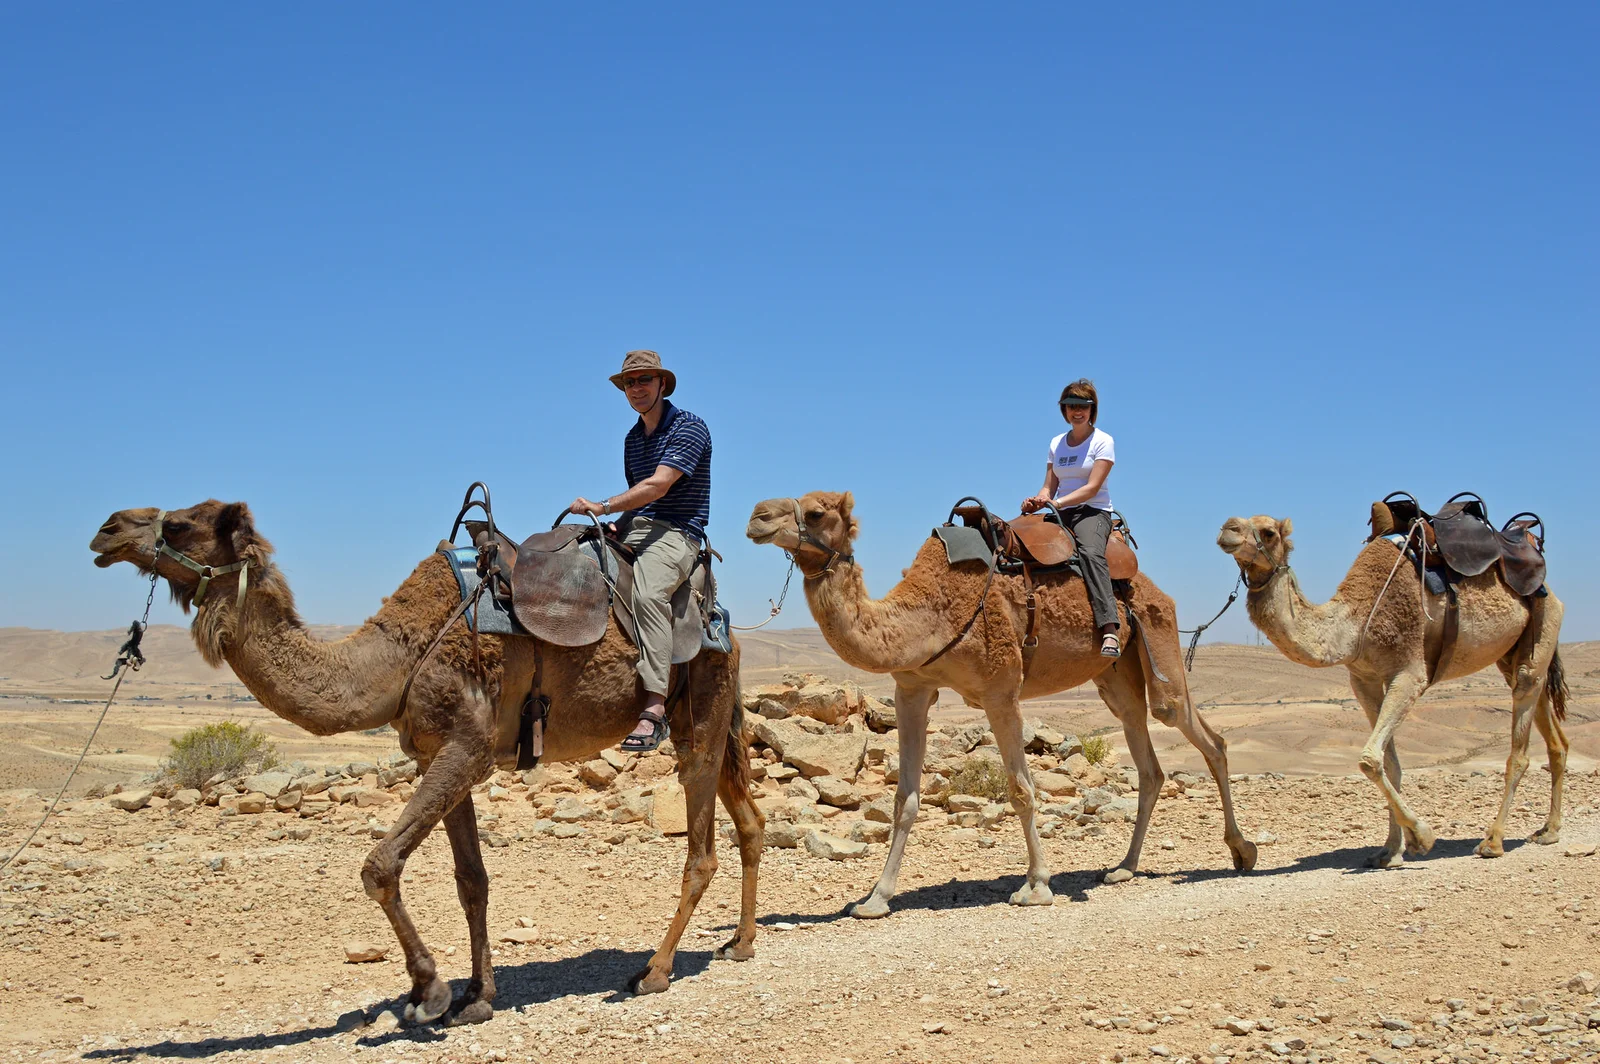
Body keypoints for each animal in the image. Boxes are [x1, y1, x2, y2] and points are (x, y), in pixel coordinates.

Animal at [90, 502, 764, 1024]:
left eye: (181, 523)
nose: (107, 530)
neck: (396, 655)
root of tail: (721, 619)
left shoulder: (468, 747)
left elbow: (379, 865)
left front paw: (427, 993)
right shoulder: (440, 755)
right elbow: (472, 881)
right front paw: (475, 997)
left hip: (699, 701)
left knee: (701, 847)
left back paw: (653, 972)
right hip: (709, 711)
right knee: (749, 820)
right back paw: (740, 943)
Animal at [748, 489, 1260, 915]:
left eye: (816, 511)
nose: (757, 516)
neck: (926, 614)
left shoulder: (1001, 690)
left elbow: (1020, 790)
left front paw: (1036, 886)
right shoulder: (912, 689)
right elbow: (905, 798)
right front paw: (876, 898)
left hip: (1158, 635)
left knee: (1199, 733)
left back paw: (1242, 851)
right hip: (1115, 674)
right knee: (1147, 756)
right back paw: (1123, 867)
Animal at [1216, 515, 1568, 870]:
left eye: (1268, 532)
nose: (1227, 529)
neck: (1354, 622)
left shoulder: (1410, 672)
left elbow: (1370, 759)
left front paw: (1421, 836)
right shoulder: (1364, 678)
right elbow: (1389, 762)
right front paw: (1389, 851)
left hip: (1542, 625)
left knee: (1520, 746)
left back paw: (1493, 841)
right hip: (1512, 654)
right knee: (1555, 737)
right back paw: (1548, 831)